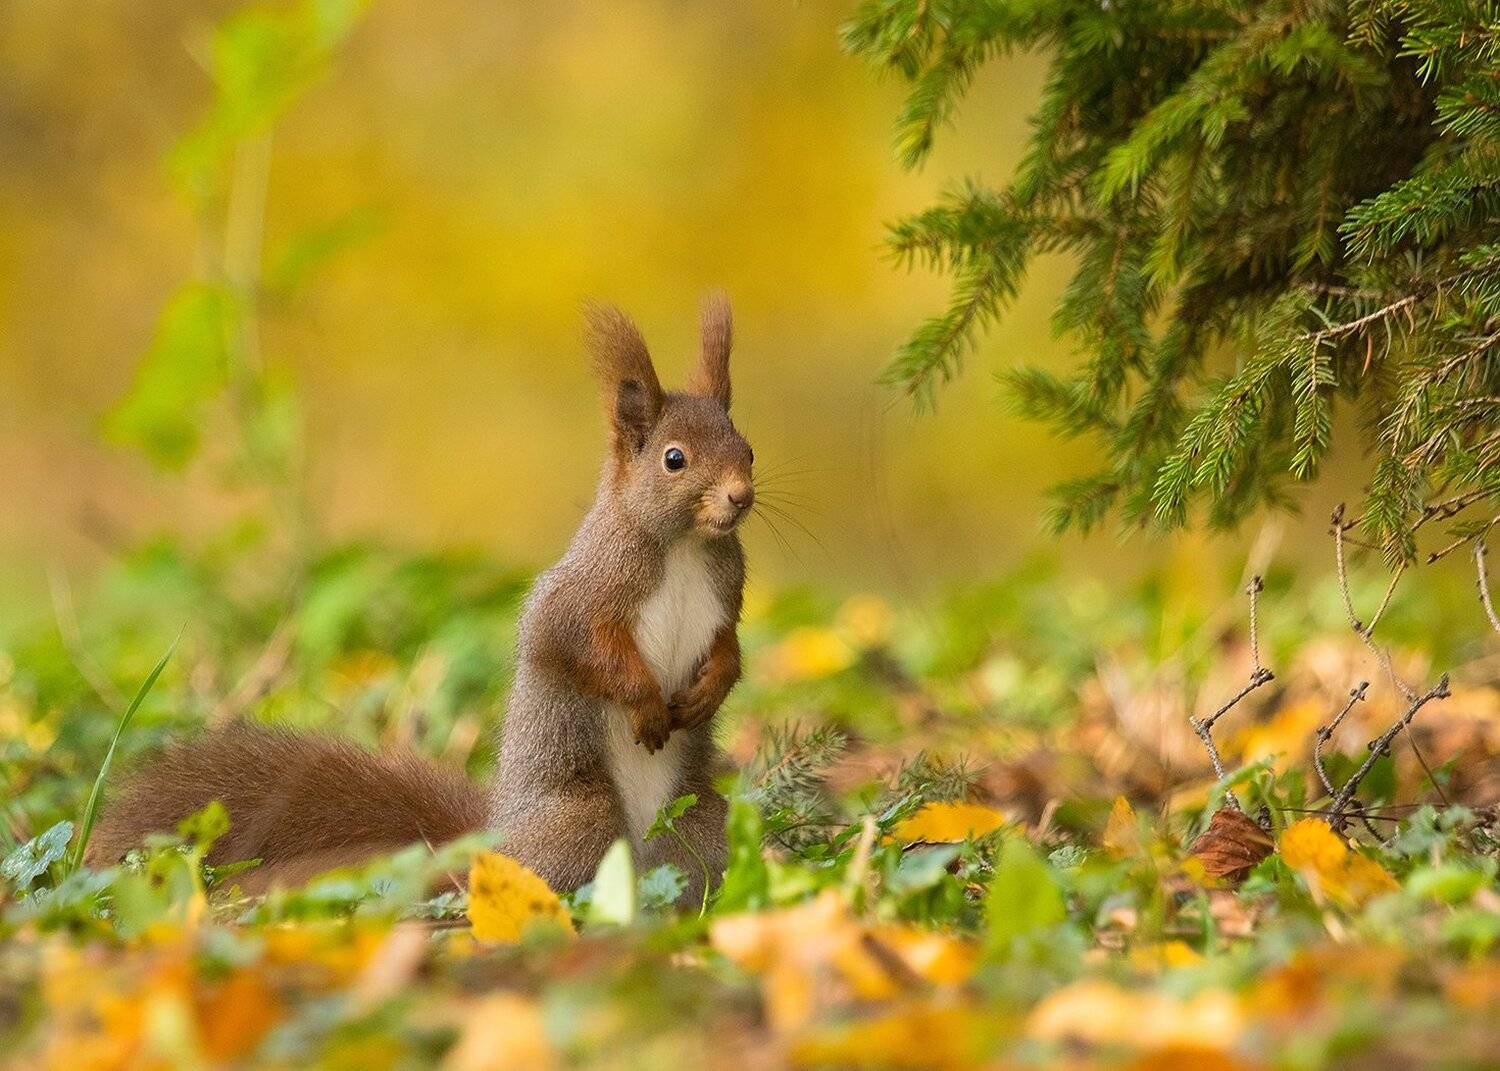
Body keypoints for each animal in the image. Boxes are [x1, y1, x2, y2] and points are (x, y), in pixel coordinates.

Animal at [87, 295, 753, 903]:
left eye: (746, 449)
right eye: (674, 459)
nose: (741, 496)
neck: (686, 546)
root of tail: (498, 842)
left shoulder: (728, 587)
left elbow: (728, 645)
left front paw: (713, 687)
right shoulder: (588, 590)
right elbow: (575, 646)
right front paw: (645, 703)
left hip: (699, 822)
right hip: (581, 822)